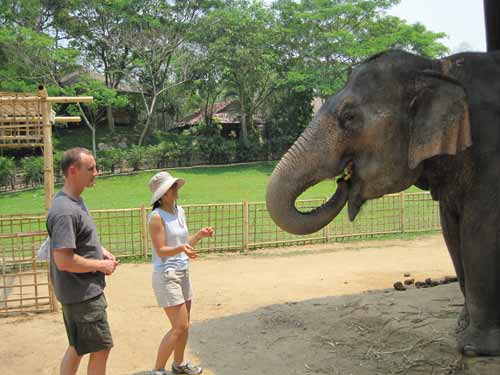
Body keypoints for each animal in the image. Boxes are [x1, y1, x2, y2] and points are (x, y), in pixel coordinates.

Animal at [268, 50, 500, 358]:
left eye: (349, 117)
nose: (343, 180)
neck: (437, 68)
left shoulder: (491, 157)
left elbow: (480, 231)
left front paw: (474, 348)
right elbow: (452, 232)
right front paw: (460, 328)